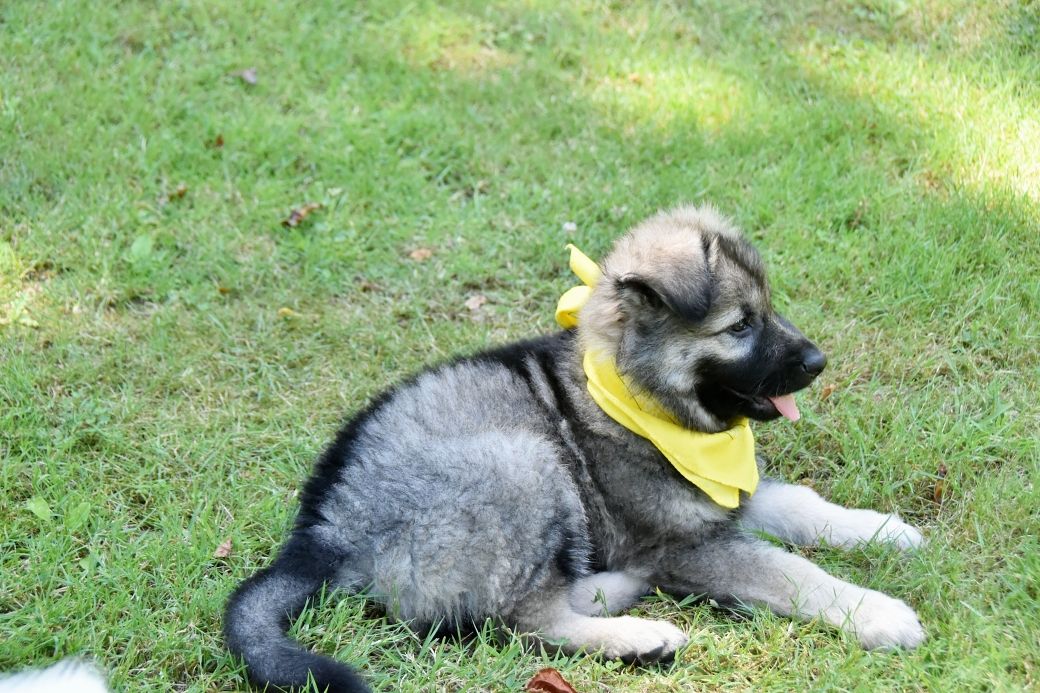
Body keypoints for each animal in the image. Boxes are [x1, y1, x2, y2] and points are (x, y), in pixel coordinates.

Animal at [225, 205, 925, 692]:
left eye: (769, 311)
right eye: (740, 326)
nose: (818, 361)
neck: (637, 399)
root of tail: (321, 533)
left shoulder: (724, 497)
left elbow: (803, 505)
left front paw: (884, 530)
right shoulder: (682, 542)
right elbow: (790, 572)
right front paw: (880, 614)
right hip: (522, 465)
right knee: (516, 618)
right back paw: (638, 631)